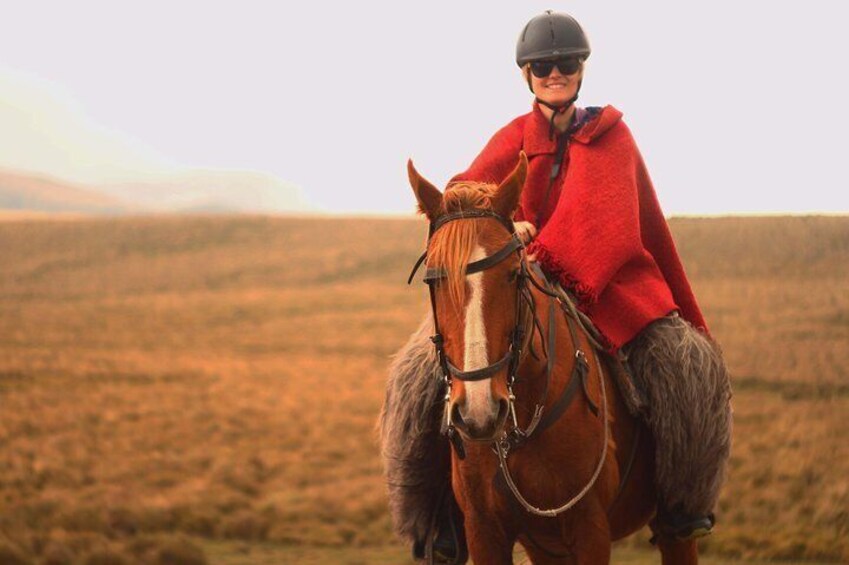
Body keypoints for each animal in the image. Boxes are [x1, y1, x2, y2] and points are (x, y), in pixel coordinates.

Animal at [408, 152, 700, 560]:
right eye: (433, 280)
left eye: (514, 274)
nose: (480, 413)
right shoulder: (484, 530)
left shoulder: (589, 528)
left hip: (672, 529)